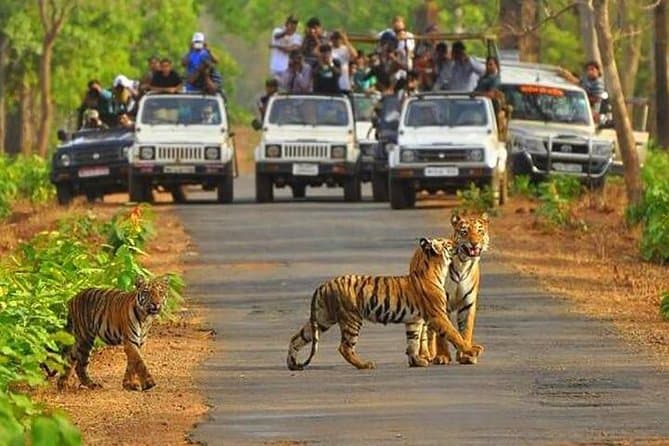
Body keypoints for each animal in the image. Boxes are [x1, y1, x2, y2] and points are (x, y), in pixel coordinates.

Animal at [286, 237, 484, 370]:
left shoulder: (414, 320)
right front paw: (472, 350)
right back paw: (365, 364)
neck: (436, 269)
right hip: (352, 319)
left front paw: (416, 361)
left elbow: (412, 342)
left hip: (322, 319)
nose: (458, 243)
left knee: (297, 337)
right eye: (448, 243)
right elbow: (455, 334)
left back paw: (292, 364)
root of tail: (324, 285)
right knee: (345, 347)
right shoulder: (438, 315)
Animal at [421, 212, 490, 365]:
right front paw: (442, 356)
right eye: (464, 232)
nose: (474, 243)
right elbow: (442, 334)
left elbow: (466, 330)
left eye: (480, 231)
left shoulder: (468, 303)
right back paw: (429, 354)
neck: (463, 263)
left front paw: (466, 355)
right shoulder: (441, 304)